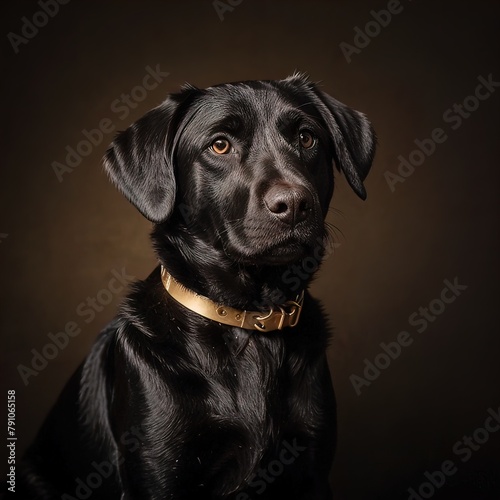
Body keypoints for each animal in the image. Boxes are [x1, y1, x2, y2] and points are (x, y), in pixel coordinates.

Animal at [16, 72, 376, 498]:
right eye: (219, 145)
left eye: (306, 138)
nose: (294, 204)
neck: (249, 320)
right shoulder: (158, 472)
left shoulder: (311, 471)